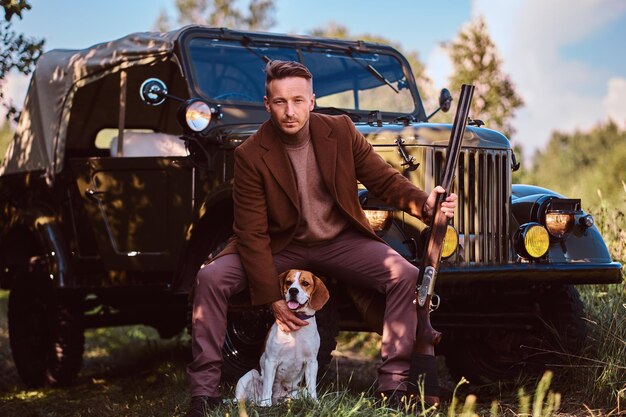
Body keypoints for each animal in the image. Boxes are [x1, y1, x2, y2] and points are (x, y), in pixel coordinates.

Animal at [234, 268, 330, 404]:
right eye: (288, 282)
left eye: (305, 283)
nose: (293, 290)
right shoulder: (271, 360)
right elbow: (267, 387)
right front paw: (266, 405)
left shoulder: (312, 362)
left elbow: (312, 387)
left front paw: (314, 402)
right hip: (248, 377)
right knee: (240, 399)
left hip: (299, 392)